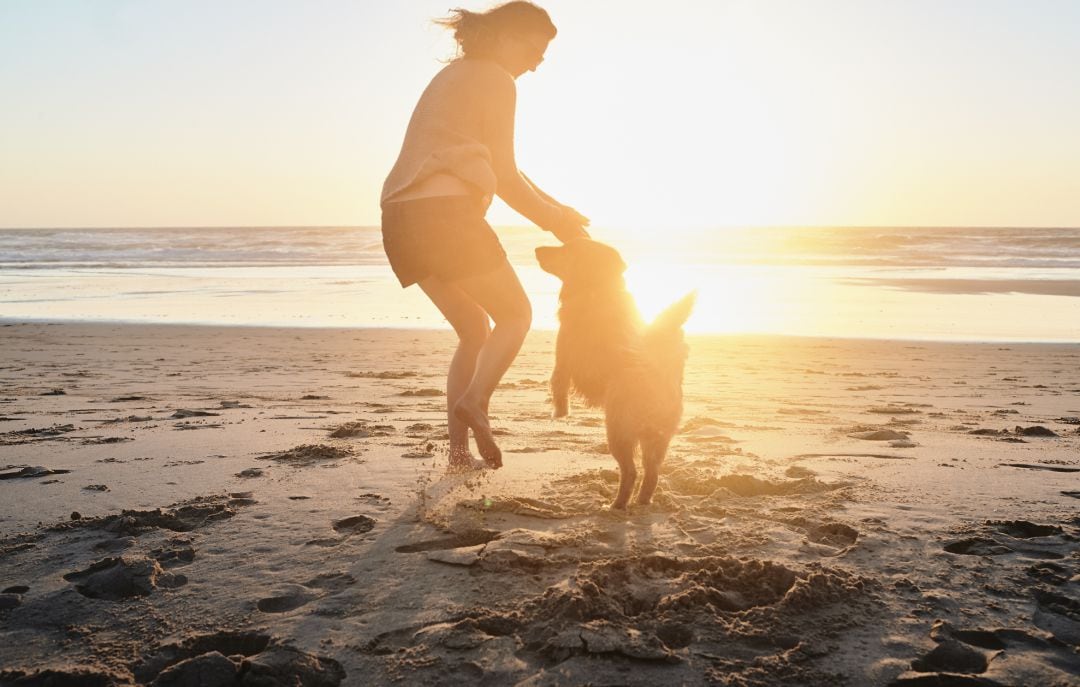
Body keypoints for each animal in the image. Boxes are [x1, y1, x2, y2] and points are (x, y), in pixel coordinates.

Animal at [535, 237, 695, 509]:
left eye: (566, 248)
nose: (537, 249)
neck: (596, 288)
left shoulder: (563, 356)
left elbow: (558, 384)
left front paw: (559, 412)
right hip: (657, 438)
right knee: (652, 474)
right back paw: (641, 502)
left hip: (618, 431)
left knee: (631, 472)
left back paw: (615, 505)